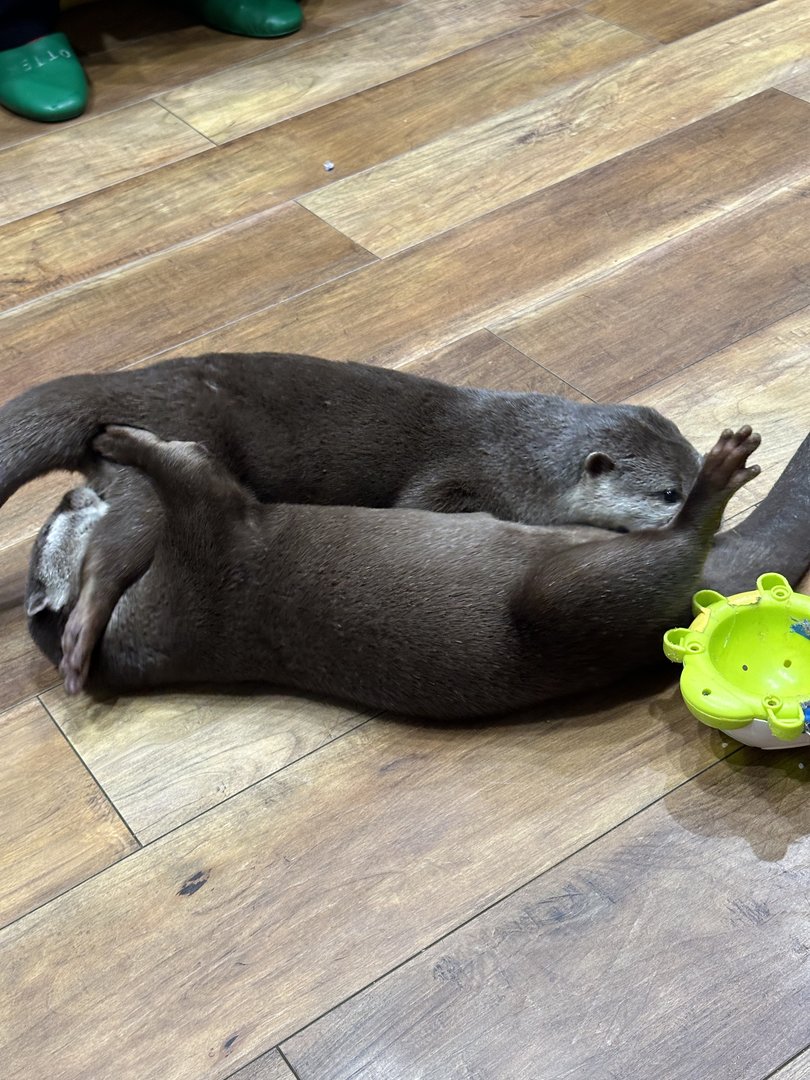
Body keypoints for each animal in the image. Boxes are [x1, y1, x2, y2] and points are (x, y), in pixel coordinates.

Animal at [25, 423, 760, 717]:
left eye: (52, 517)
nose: (68, 497)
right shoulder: (209, 531)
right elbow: (183, 462)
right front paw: (116, 438)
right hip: (561, 598)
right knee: (675, 548)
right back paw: (717, 480)